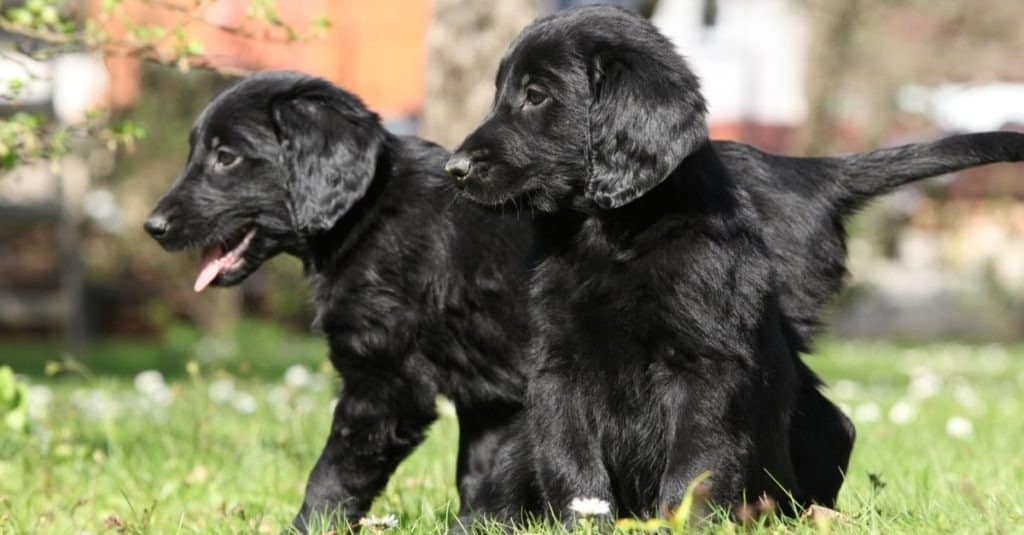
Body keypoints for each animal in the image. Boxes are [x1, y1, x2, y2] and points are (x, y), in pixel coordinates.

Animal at [146, 70, 544, 528]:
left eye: (225, 157)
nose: (152, 226)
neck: (366, 214)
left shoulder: (386, 381)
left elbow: (333, 474)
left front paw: (308, 527)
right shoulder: (488, 392)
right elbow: (482, 467)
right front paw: (479, 523)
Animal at [450, 5, 1024, 520]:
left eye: (536, 96)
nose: (454, 168)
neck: (617, 237)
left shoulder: (707, 363)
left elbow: (695, 463)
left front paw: (687, 523)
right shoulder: (559, 366)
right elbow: (572, 462)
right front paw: (585, 523)